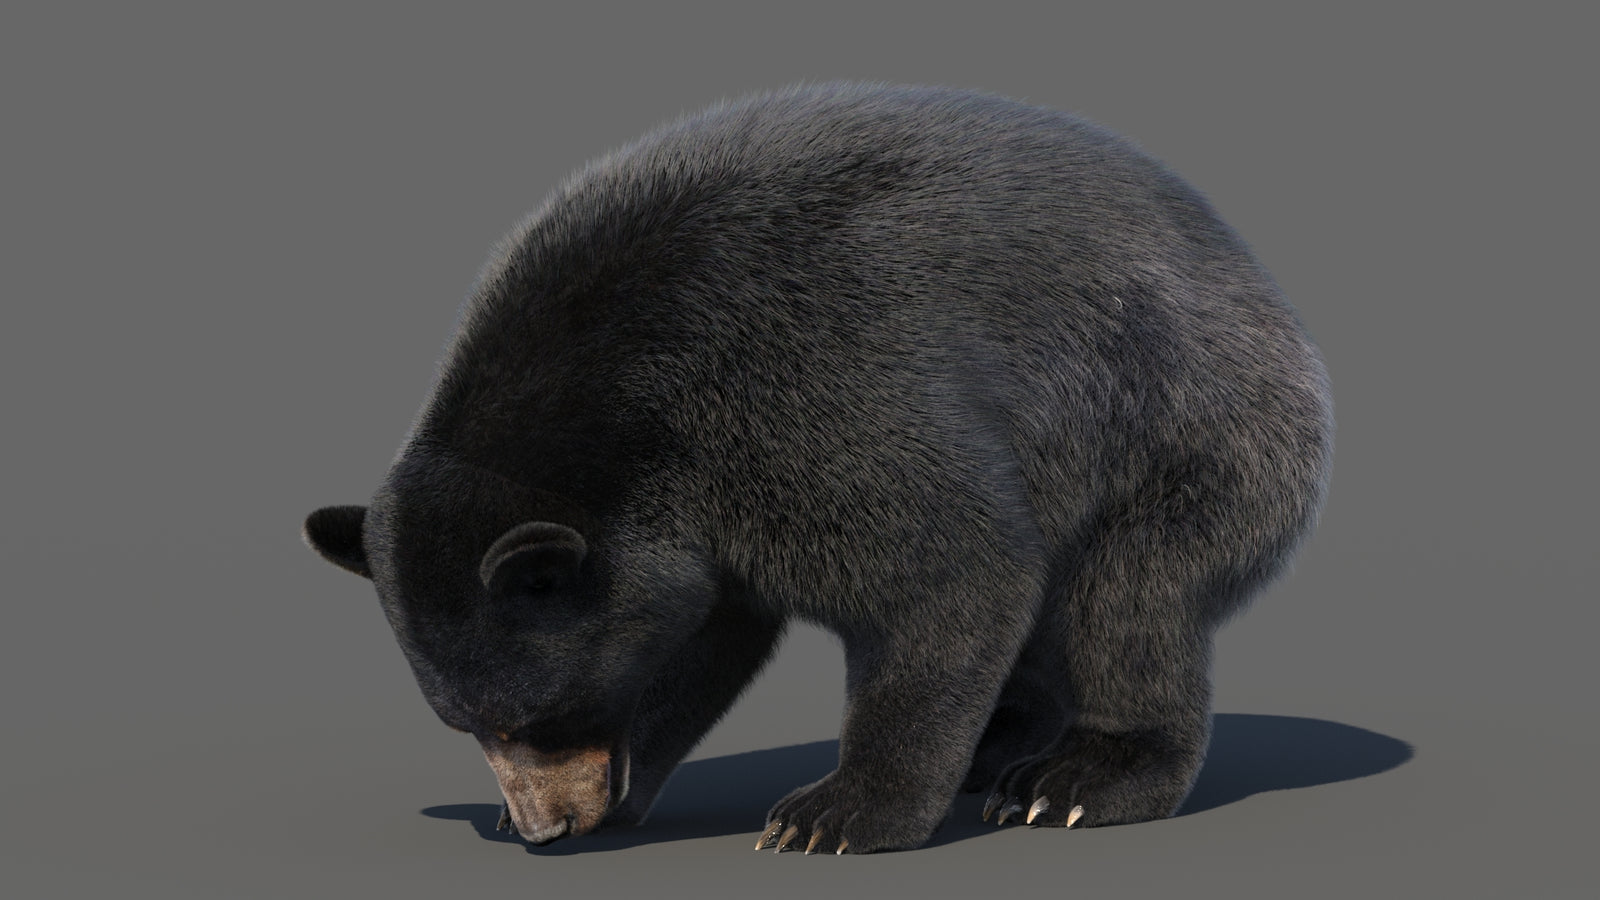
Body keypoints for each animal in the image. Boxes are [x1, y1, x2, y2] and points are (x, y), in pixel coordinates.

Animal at [303, 82, 1333, 854]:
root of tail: (1265, 287)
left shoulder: (804, 392)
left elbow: (954, 566)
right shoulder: (694, 519)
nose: (544, 828)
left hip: (1184, 428)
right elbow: (702, 634)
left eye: (537, 716)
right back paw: (1001, 741)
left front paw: (836, 812)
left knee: (1129, 599)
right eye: (468, 724)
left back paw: (1075, 778)